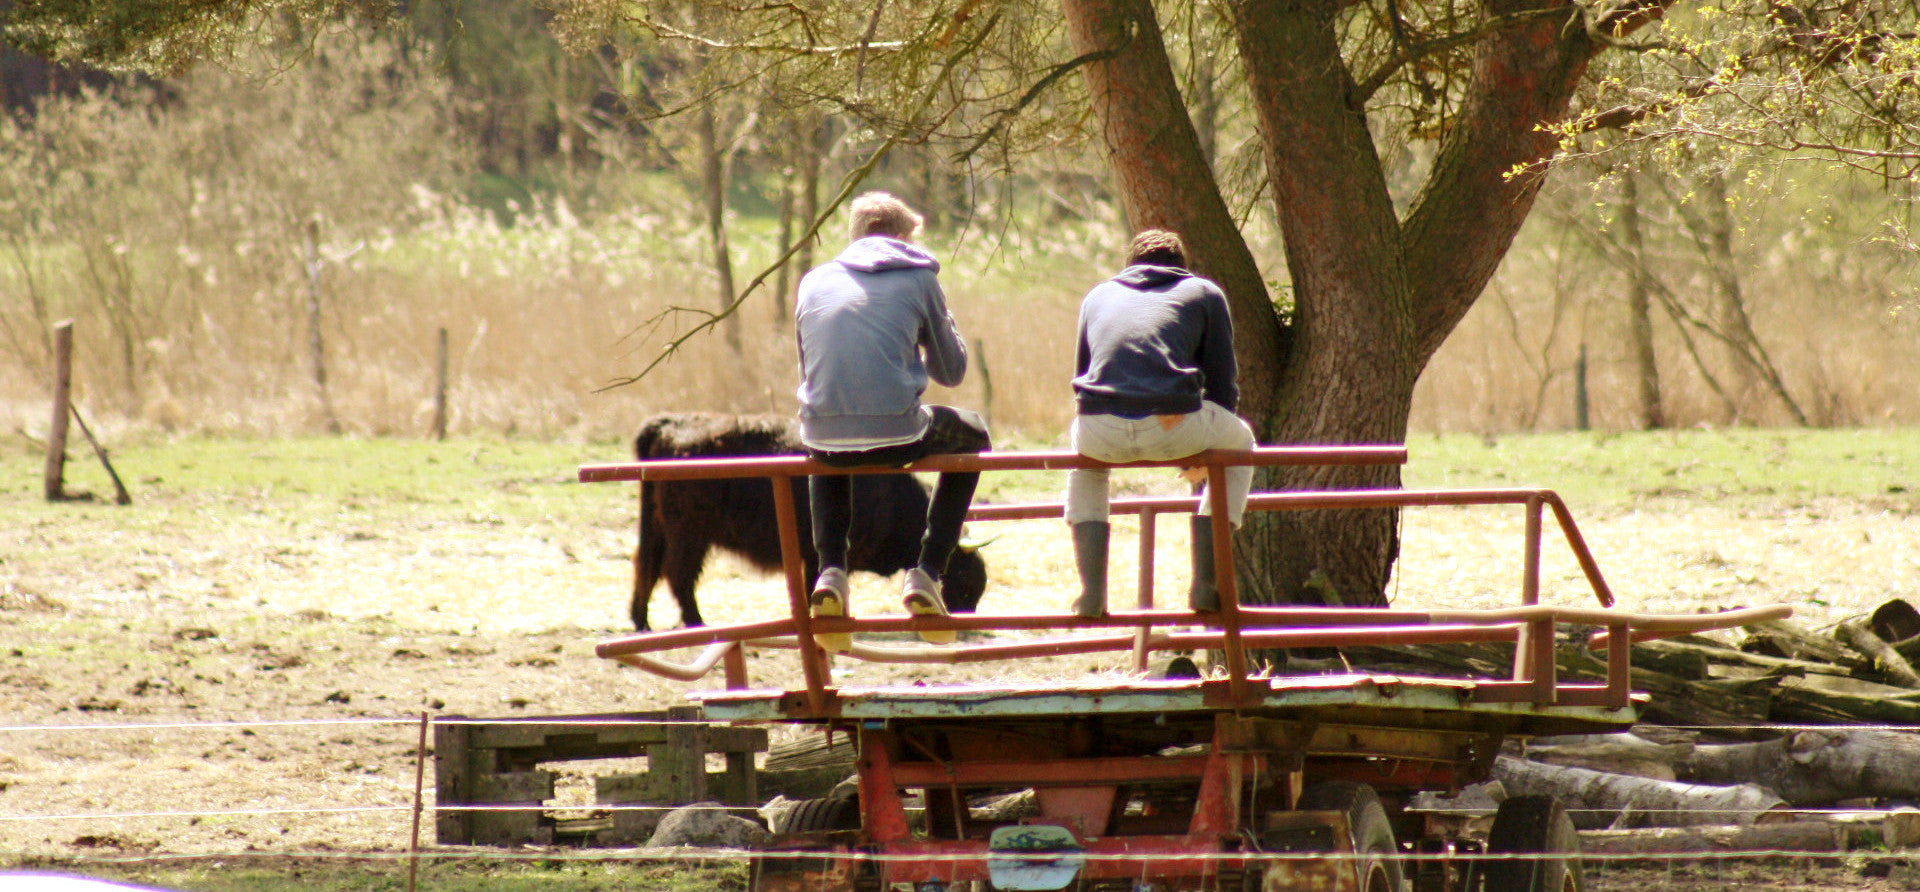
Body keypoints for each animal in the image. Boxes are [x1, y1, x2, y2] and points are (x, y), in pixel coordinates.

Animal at [629, 414, 990, 629]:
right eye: (965, 578)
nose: (969, 618)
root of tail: (669, 425)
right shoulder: (821, 556)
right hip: (690, 535)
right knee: (677, 574)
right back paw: (696, 622)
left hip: (660, 529)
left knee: (647, 565)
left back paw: (642, 622)